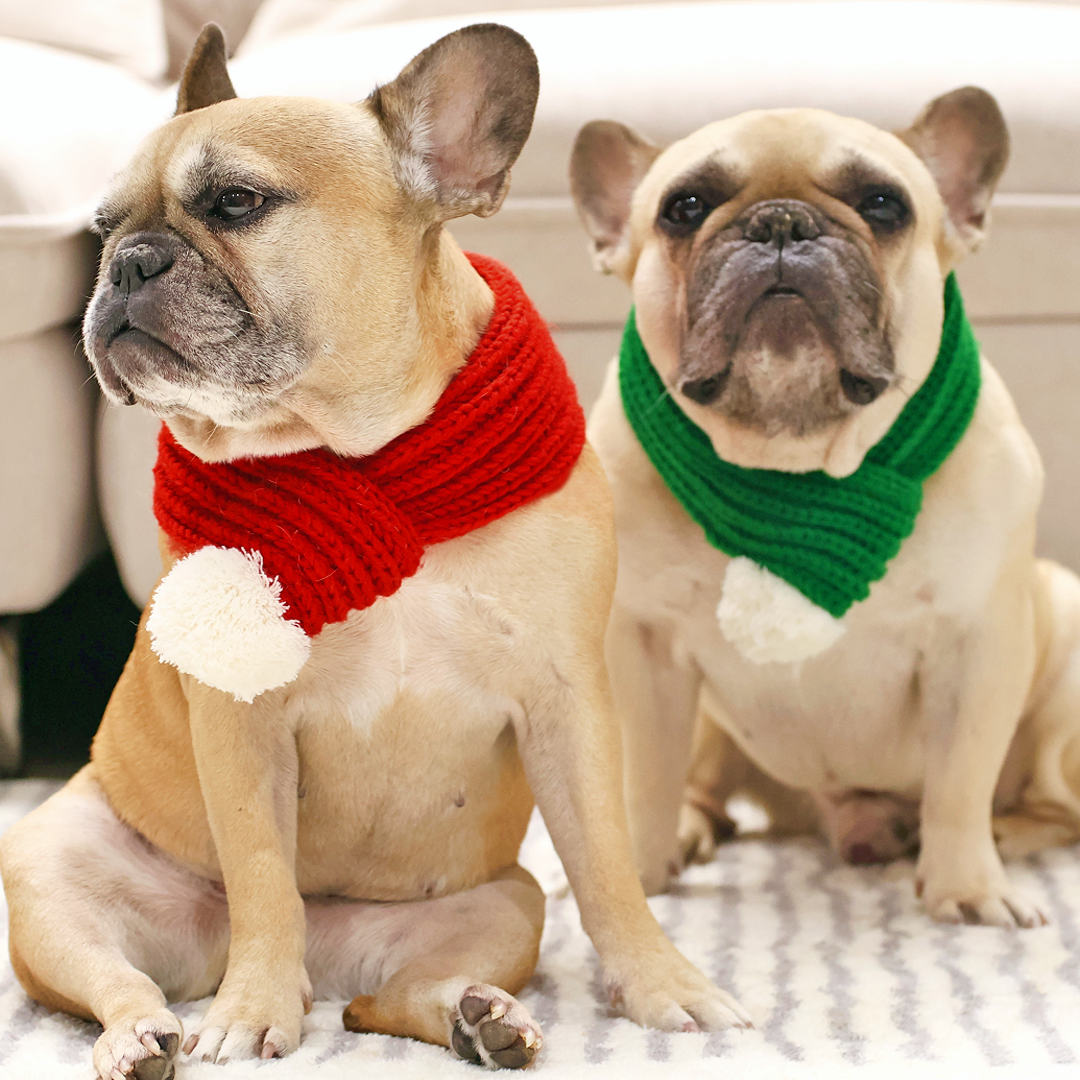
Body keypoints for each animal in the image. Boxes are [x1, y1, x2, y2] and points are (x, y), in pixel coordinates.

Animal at [0, 25, 747, 1080]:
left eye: (238, 202)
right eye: (101, 227)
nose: (126, 266)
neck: (367, 452)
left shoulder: (568, 698)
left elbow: (607, 865)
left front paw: (661, 984)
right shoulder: (241, 718)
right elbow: (263, 873)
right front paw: (252, 1010)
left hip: (503, 903)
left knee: (391, 1001)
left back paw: (483, 1016)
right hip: (47, 866)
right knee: (123, 981)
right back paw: (147, 1036)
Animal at [570, 88, 1080, 924]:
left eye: (883, 204)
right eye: (685, 207)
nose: (781, 222)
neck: (796, 461)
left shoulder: (977, 644)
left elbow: (961, 779)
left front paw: (967, 888)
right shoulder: (642, 648)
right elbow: (645, 774)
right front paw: (640, 876)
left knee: (1050, 805)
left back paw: (998, 840)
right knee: (702, 787)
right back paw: (700, 830)